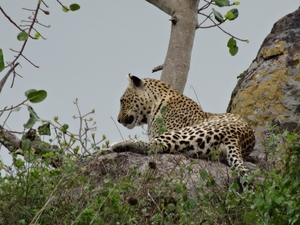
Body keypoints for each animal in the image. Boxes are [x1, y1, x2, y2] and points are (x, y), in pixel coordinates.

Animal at [110, 73, 255, 186]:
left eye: (122, 101)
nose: (118, 119)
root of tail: (237, 137)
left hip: (185, 133)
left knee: (154, 146)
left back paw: (116, 145)